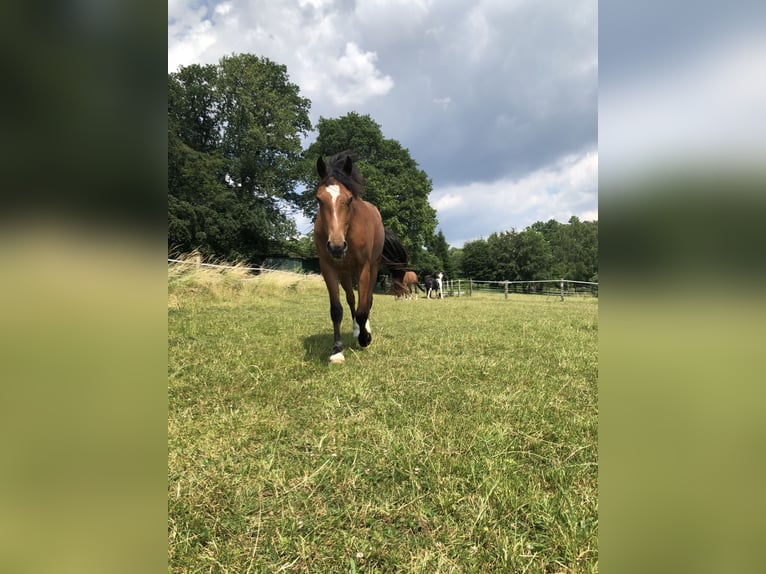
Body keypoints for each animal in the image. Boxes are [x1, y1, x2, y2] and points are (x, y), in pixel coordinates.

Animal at [316, 151, 412, 362]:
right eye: (319, 199)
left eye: (350, 199)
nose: (336, 246)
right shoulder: (328, 268)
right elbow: (336, 309)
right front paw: (337, 350)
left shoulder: (365, 269)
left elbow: (363, 307)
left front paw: (365, 338)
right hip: (345, 273)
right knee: (352, 299)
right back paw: (355, 330)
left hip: (373, 268)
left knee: (367, 300)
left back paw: (364, 329)